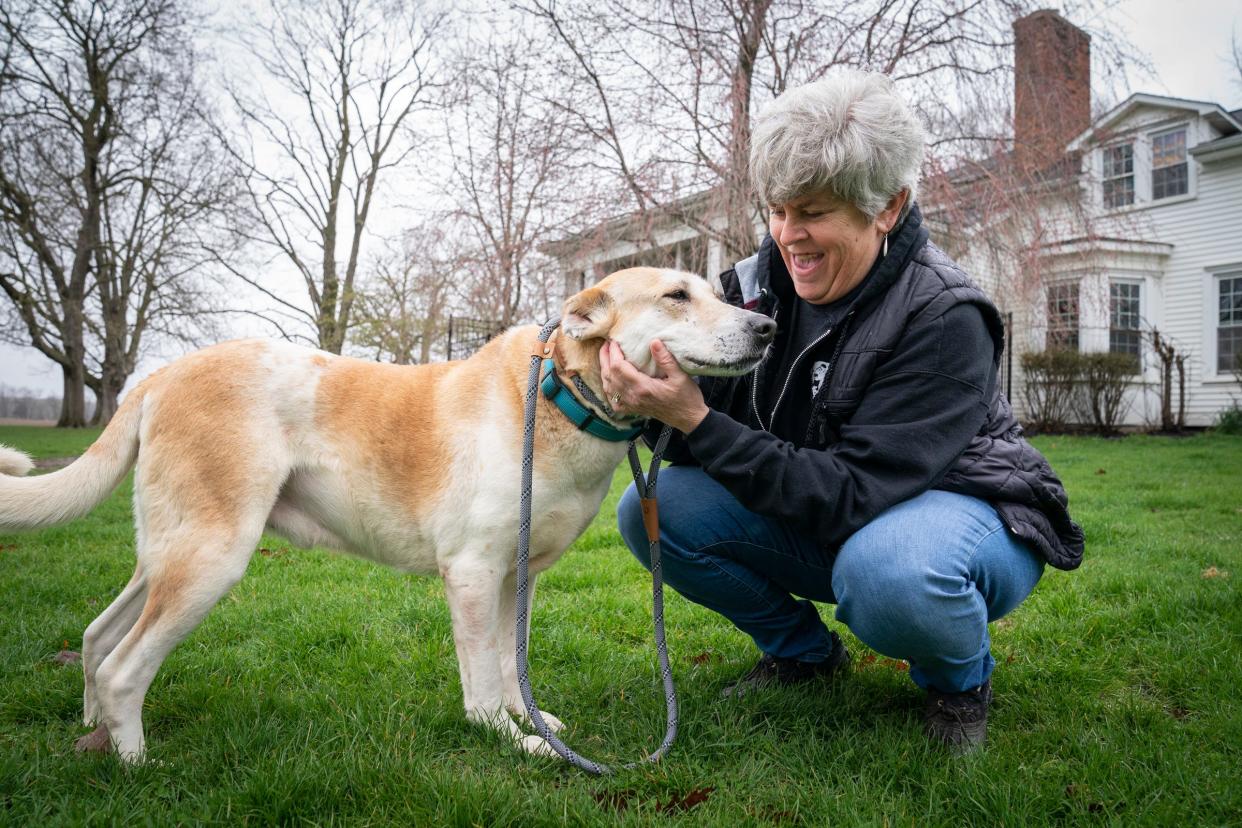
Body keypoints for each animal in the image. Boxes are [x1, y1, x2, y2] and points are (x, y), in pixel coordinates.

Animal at [0, 266, 775, 764]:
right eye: (676, 295)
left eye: (720, 292)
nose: (768, 324)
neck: (559, 397)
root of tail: (164, 373)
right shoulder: (471, 575)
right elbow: (482, 680)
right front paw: (511, 739)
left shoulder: (516, 579)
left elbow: (509, 660)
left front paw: (527, 718)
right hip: (210, 559)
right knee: (124, 666)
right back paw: (134, 763)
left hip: (168, 555)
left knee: (97, 640)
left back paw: (93, 735)